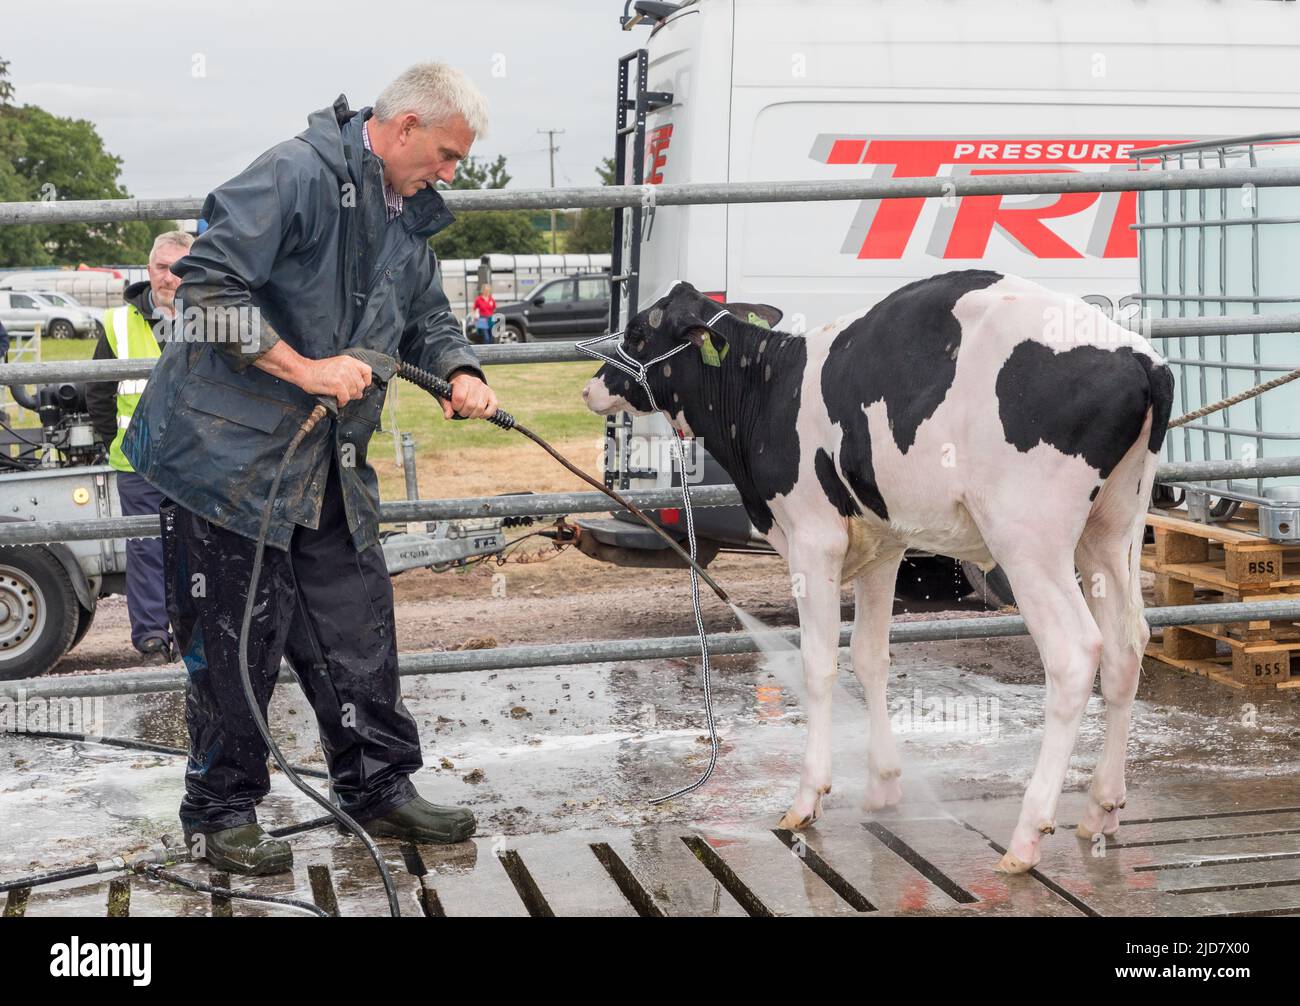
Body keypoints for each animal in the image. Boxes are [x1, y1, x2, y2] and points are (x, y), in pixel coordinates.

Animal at [587, 274, 1180, 873]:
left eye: (637, 332)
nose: (592, 386)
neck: (770, 389)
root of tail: (1139, 357)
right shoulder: (885, 544)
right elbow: (870, 657)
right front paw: (883, 785)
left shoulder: (813, 541)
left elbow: (819, 663)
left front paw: (807, 798)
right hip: (1111, 532)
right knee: (1128, 644)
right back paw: (1101, 809)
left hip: (1028, 540)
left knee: (1076, 652)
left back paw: (1026, 835)